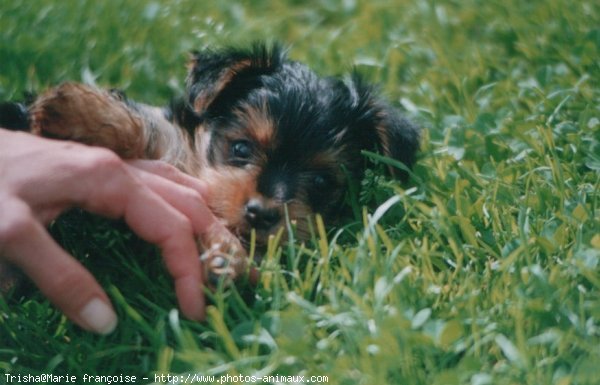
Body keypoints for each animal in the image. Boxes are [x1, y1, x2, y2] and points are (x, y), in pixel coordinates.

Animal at [0, 43, 420, 286]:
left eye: (319, 182)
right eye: (241, 148)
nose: (261, 213)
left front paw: (225, 257)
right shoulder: (170, 142)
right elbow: (149, 131)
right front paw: (75, 113)